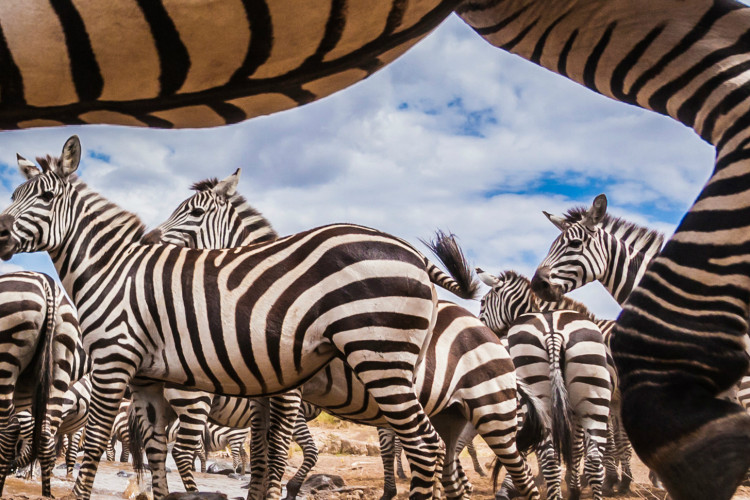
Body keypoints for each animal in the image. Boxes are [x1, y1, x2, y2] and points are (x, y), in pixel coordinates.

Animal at [0, 272, 86, 498]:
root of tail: (49, 285)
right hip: (59, 363)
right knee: (45, 436)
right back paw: (46, 493)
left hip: (5, 362)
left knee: (10, 428)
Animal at [147, 168, 548, 500]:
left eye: (195, 214)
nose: (150, 239)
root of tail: (494, 337)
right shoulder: (265, 392)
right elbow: (260, 456)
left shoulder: (290, 393)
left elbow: (276, 454)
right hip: (453, 415)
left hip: (492, 412)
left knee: (520, 475)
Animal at [478, 270, 612, 500]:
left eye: (483, 302)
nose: (480, 332)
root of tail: (553, 332)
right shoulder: (573, 412)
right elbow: (575, 450)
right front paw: (573, 488)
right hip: (593, 398)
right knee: (592, 460)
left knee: (552, 457)